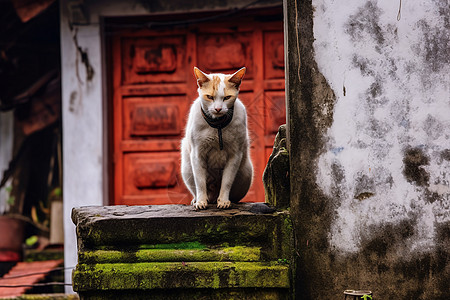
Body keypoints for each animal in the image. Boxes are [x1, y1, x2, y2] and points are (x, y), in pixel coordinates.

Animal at [182, 67, 253, 210]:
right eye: (209, 97)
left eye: (227, 97)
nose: (218, 108)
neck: (218, 125)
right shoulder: (197, 154)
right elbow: (200, 182)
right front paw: (201, 202)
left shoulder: (235, 155)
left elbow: (227, 181)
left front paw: (224, 201)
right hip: (187, 169)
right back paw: (197, 199)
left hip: (246, 171)